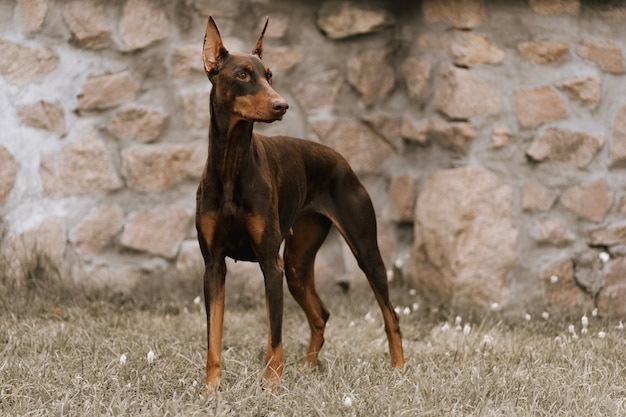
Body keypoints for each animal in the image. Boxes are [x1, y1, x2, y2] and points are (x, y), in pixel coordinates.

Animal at [196, 16, 404, 394]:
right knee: (321, 314)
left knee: (390, 313)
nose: (282, 105)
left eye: (269, 74)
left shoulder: (270, 262)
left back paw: (398, 369)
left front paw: (272, 388)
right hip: (296, 264)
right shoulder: (213, 265)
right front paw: (211, 389)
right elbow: (213, 337)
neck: (232, 162)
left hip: (364, 250)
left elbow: (274, 336)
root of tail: (341, 159)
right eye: (243, 75)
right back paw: (308, 367)